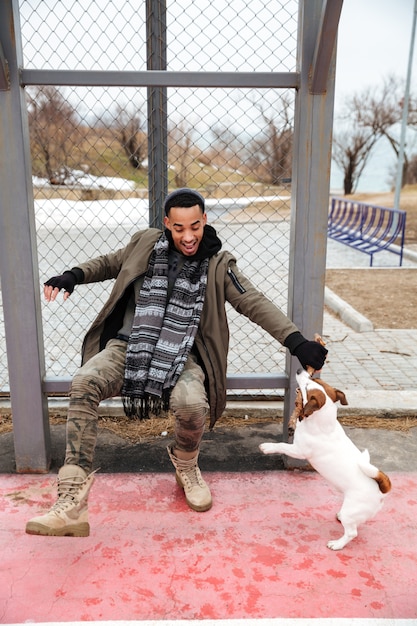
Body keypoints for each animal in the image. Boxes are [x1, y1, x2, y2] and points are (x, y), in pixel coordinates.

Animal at [258, 368, 392, 548]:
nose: (300, 369)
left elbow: (282, 445)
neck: (323, 422)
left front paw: (267, 447)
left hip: (352, 511)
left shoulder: (299, 450)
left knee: (352, 532)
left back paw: (337, 544)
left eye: (307, 386)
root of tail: (381, 489)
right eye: (315, 380)